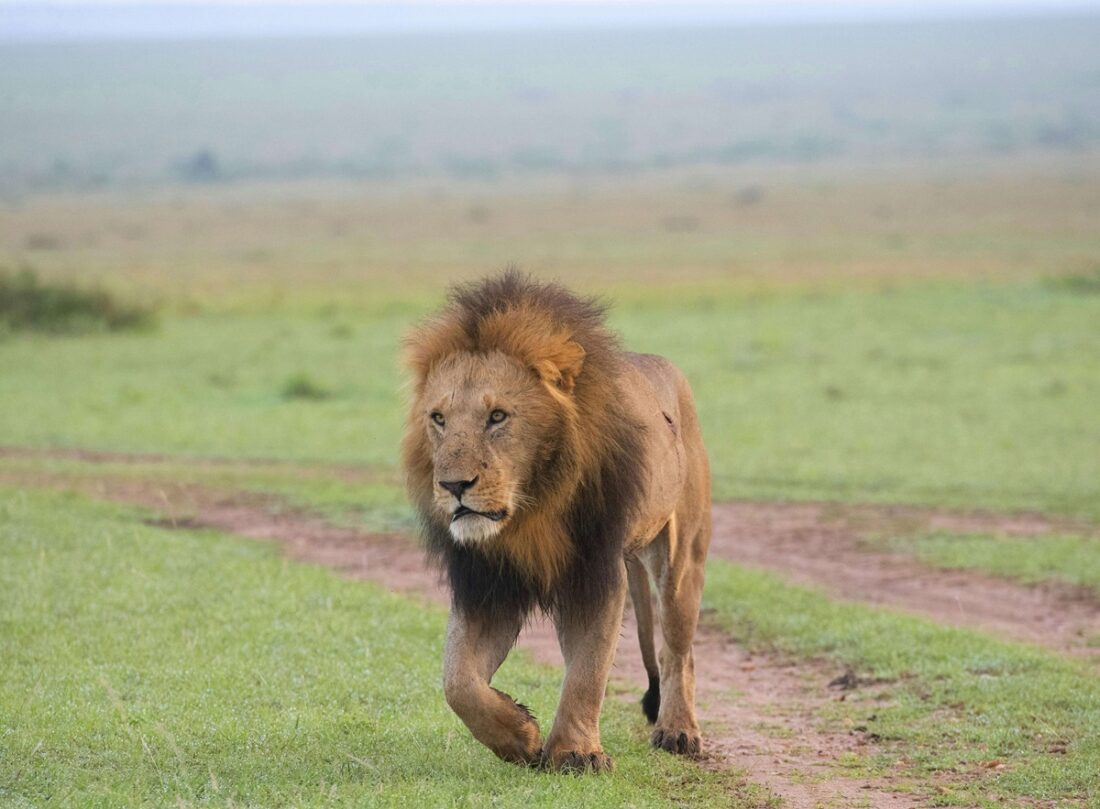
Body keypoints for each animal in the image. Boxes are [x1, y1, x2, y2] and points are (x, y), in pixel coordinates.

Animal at [401, 271, 711, 773]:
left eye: (498, 416)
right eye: (439, 419)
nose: (453, 485)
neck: (532, 507)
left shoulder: (595, 573)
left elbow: (588, 670)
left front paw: (576, 754)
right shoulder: (487, 582)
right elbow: (458, 681)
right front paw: (519, 736)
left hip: (682, 556)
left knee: (678, 650)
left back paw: (678, 730)